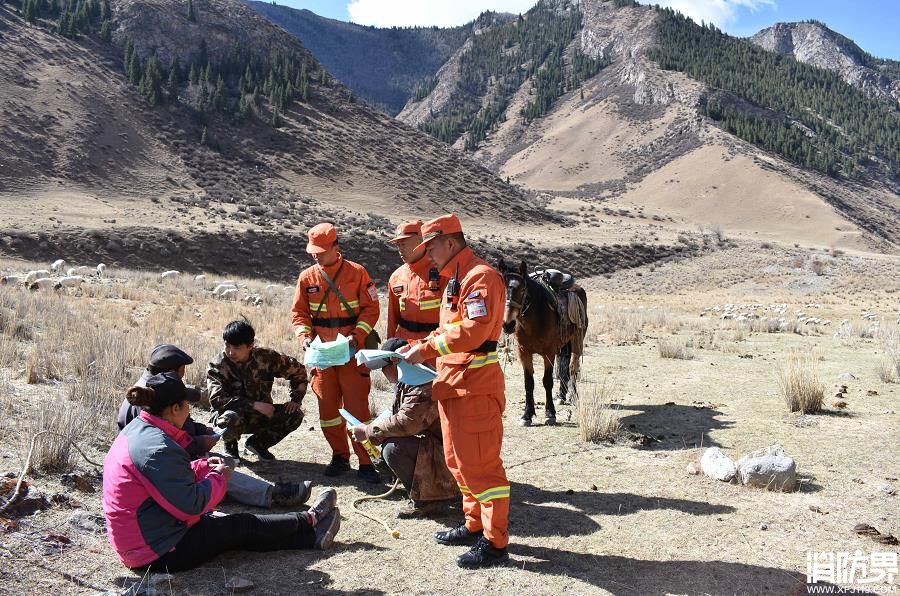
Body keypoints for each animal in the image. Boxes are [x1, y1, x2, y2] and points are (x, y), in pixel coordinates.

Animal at [496, 260, 588, 428]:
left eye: (523, 289)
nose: (508, 324)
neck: (535, 320)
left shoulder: (548, 353)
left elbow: (547, 381)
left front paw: (550, 414)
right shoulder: (523, 353)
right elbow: (528, 383)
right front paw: (527, 415)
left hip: (577, 340)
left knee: (573, 368)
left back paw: (573, 396)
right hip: (563, 344)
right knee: (564, 368)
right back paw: (561, 396)